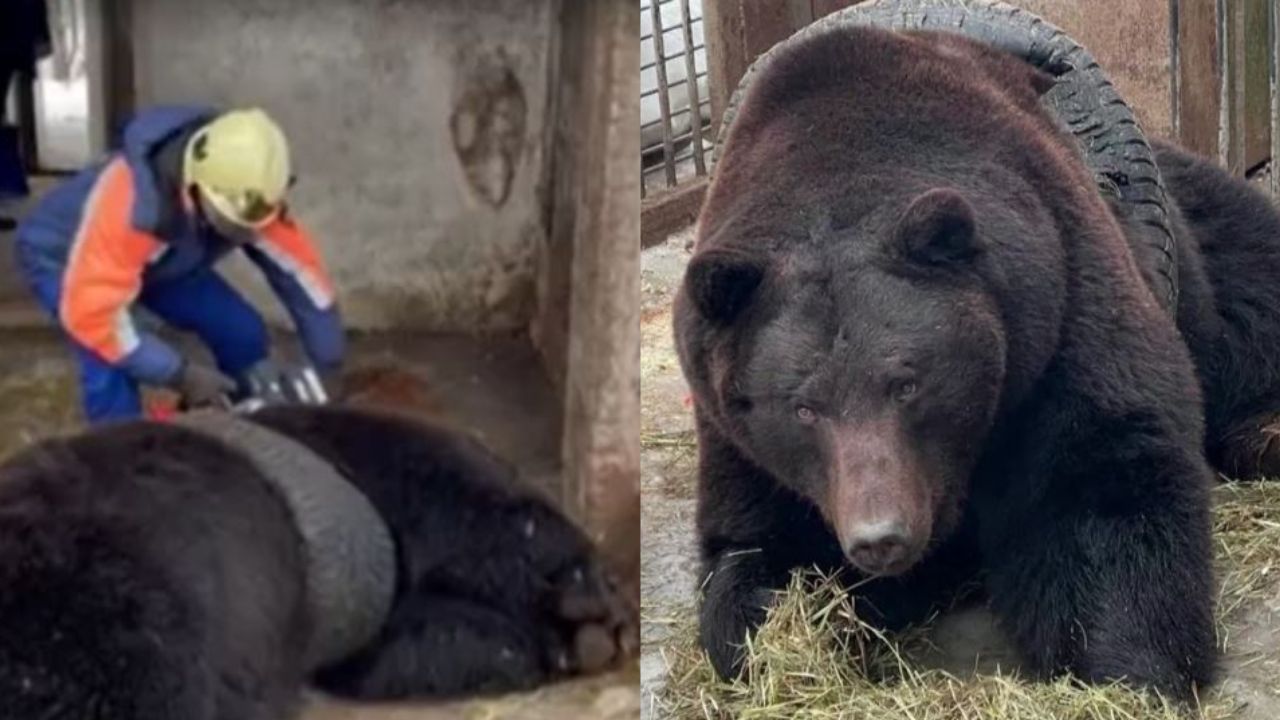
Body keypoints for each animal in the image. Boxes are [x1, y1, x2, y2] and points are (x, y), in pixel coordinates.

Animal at [674, 26, 1240, 699]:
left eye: (907, 384)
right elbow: (755, 549)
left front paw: (1126, 665)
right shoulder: (739, 433)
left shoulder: (1057, 301)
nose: (881, 537)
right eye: (803, 408)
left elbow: (1103, 475)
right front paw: (783, 637)